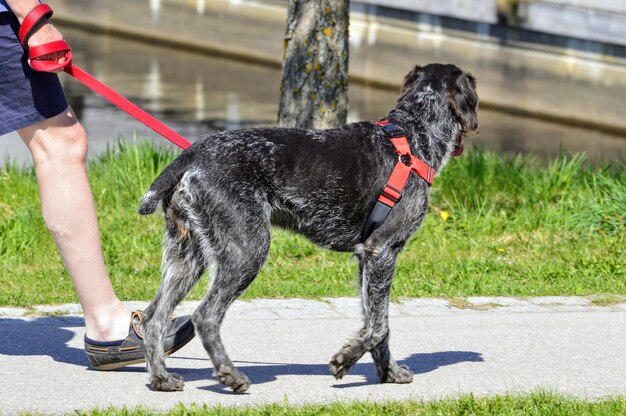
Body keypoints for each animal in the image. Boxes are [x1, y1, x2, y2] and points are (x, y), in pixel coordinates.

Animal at [138, 63, 478, 392]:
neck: (412, 132)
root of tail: (192, 155)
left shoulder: (367, 260)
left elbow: (377, 324)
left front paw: (388, 372)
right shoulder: (382, 250)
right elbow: (379, 325)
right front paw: (345, 360)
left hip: (187, 255)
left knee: (154, 317)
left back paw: (161, 378)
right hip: (247, 249)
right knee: (205, 316)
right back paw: (230, 376)